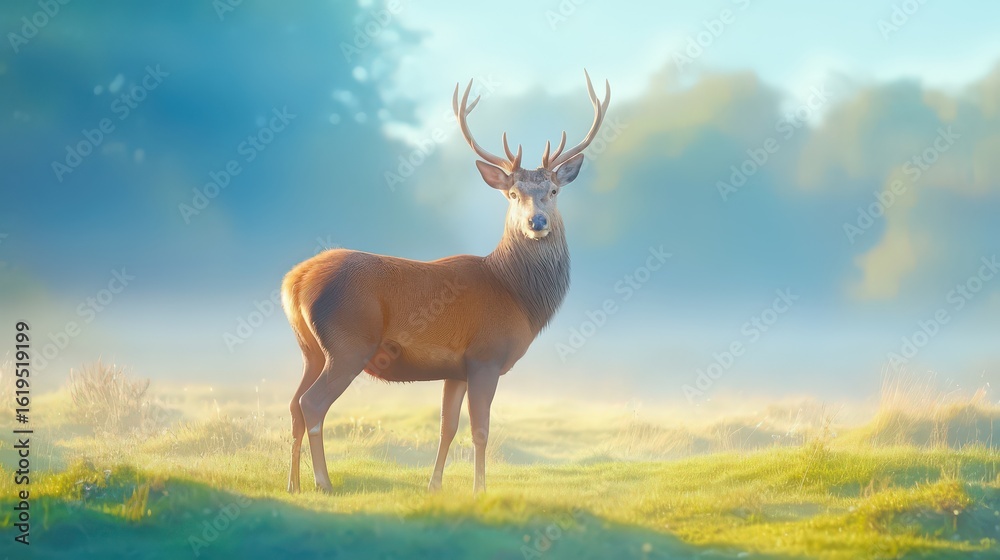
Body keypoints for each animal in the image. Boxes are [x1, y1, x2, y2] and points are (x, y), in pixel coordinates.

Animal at [282, 71, 611, 494]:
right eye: (513, 193)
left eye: (553, 191)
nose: (536, 222)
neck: (516, 294)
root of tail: (295, 280)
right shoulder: (486, 355)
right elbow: (481, 430)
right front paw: (479, 489)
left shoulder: (455, 368)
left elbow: (447, 427)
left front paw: (434, 485)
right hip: (347, 344)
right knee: (313, 404)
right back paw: (323, 481)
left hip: (311, 349)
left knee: (293, 404)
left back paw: (293, 484)